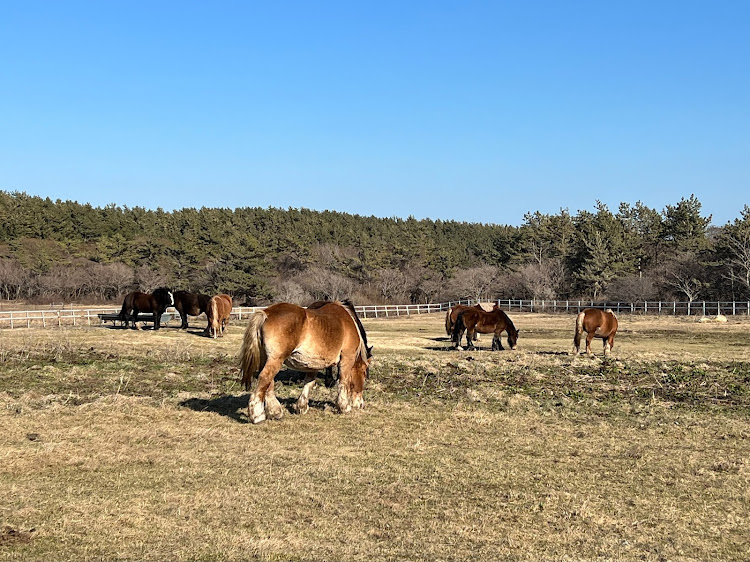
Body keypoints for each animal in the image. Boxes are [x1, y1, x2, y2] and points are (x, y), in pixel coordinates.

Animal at [241, 300, 374, 422]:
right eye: (364, 372)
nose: (361, 404)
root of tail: (266, 313)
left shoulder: (313, 364)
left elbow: (309, 382)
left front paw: (302, 406)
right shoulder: (347, 358)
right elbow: (343, 381)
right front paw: (344, 407)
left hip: (267, 359)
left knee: (268, 383)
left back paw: (275, 412)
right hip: (275, 359)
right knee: (264, 378)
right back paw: (257, 415)